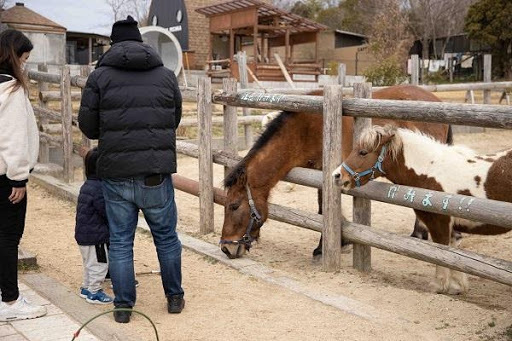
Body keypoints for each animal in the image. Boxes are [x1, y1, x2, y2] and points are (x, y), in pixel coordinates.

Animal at [218, 84, 450, 258]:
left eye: (234, 206)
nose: (226, 248)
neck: (305, 129)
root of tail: (436, 100)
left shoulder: (327, 171)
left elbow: (324, 209)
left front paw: (325, 247)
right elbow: (324, 207)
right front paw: (342, 239)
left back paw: (420, 233)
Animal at [332, 124, 512, 292]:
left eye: (363, 152)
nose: (337, 175)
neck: (431, 171)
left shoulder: (439, 223)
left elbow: (441, 251)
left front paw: (439, 285)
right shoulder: (450, 227)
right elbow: (454, 253)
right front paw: (457, 286)